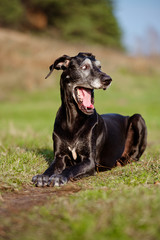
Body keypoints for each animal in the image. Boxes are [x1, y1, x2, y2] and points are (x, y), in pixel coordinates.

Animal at [31, 53, 147, 188]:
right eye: (84, 67)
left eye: (100, 67)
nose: (108, 79)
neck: (73, 119)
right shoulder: (59, 156)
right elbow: (51, 168)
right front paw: (43, 176)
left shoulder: (89, 161)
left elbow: (71, 169)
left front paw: (59, 176)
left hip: (138, 118)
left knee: (134, 157)